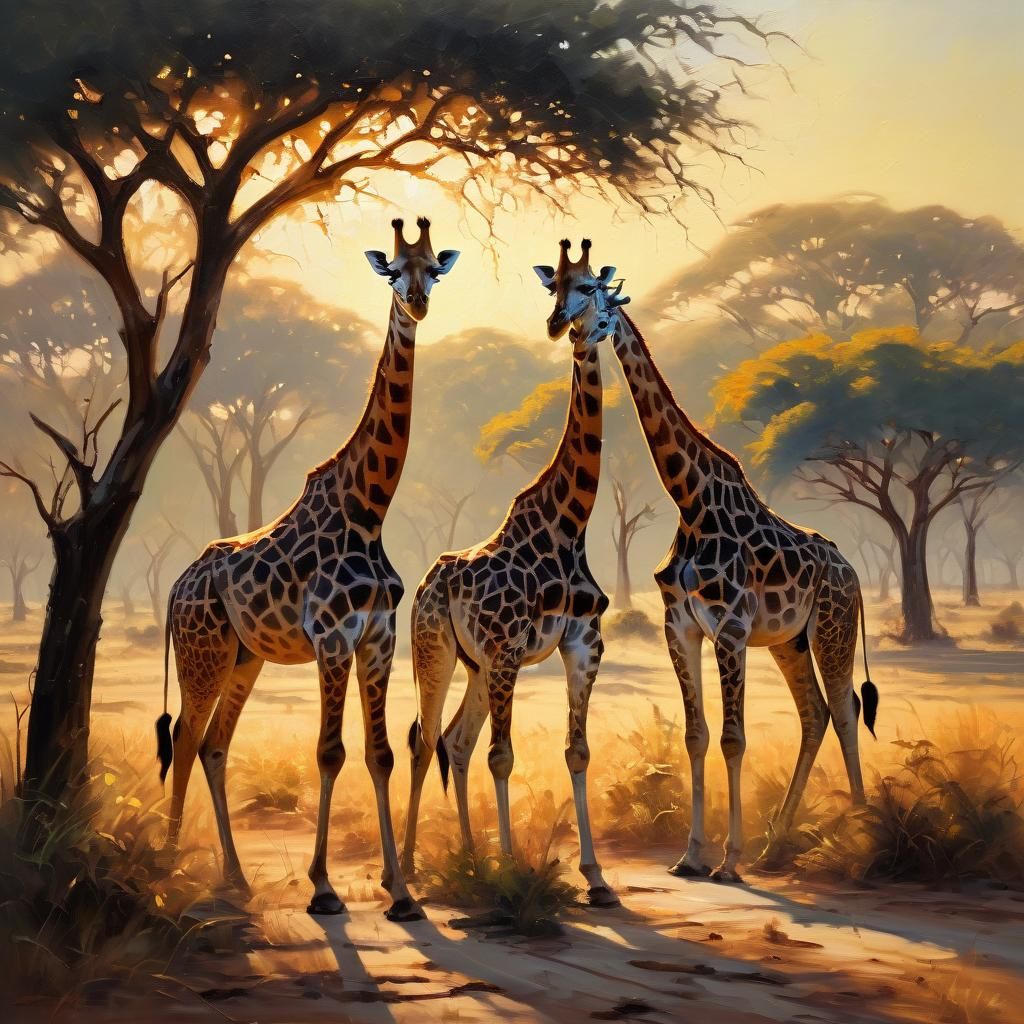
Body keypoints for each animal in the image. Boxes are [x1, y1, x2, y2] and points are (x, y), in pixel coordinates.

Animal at [156, 217, 458, 920]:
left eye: (434, 268)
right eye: (392, 271)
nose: (418, 304)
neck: (369, 507)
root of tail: (177, 586)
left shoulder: (378, 637)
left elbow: (379, 755)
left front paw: (401, 891)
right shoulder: (331, 637)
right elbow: (329, 752)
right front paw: (323, 888)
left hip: (245, 656)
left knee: (213, 744)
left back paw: (234, 877)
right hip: (203, 652)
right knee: (184, 735)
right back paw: (169, 865)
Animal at [400, 240, 625, 907]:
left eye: (593, 290)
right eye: (556, 287)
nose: (564, 327)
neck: (570, 523)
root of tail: (431, 584)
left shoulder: (584, 643)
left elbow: (577, 752)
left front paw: (596, 877)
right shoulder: (507, 651)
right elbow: (503, 756)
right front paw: (510, 868)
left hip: (475, 665)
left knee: (454, 740)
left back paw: (468, 858)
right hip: (436, 650)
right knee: (425, 738)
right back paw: (413, 866)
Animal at [543, 254, 878, 883]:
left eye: (595, 292)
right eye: (558, 289)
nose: (563, 327)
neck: (690, 498)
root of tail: (854, 574)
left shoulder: (732, 627)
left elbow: (732, 739)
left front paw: (727, 861)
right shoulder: (681, 625)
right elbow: (697, 736)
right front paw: (692, 855)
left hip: (832, 626)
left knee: (845, 710)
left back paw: (866, 837)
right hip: (791, 639)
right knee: (815, 713)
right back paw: (776, 846)